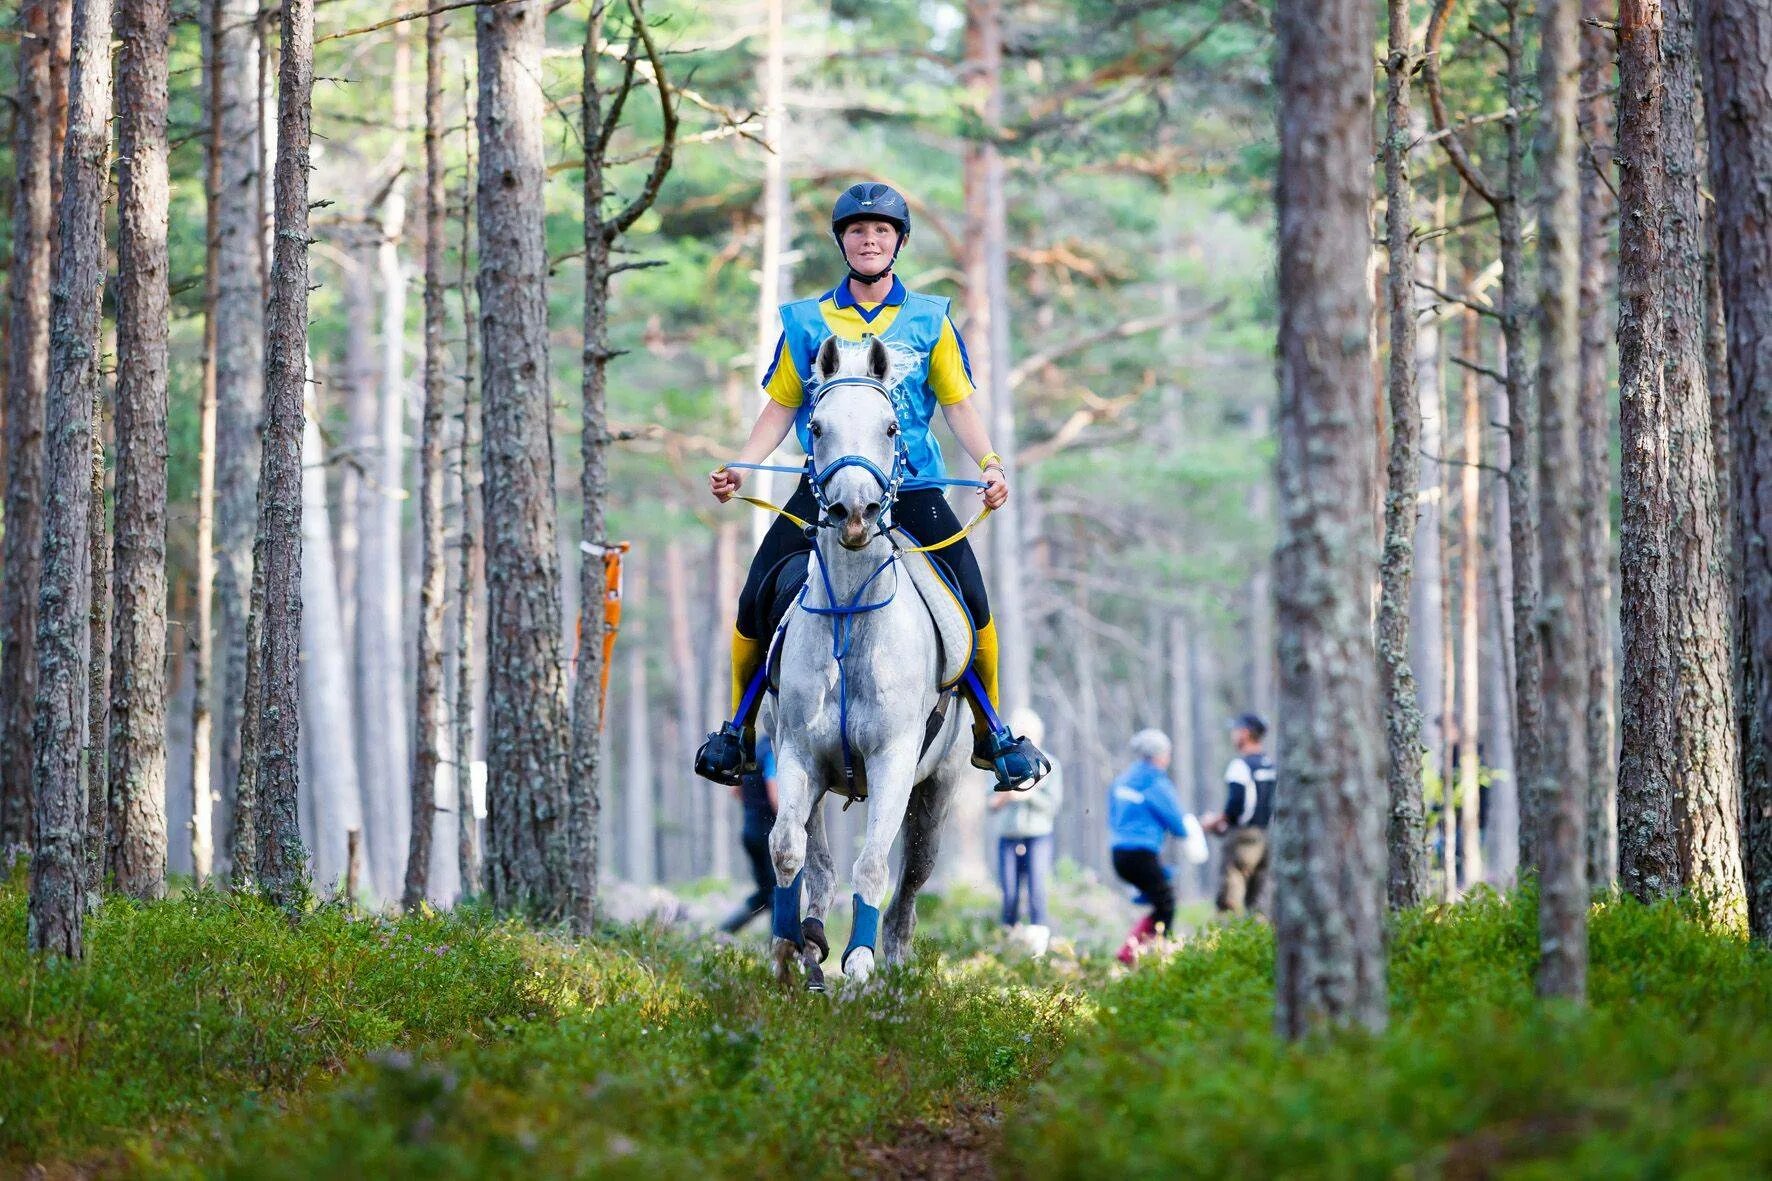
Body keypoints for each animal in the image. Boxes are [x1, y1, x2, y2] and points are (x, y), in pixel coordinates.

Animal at [769, 331, 978, 985]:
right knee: (818, 865)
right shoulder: (798, 755)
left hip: (938, 794)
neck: (852, 621)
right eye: (817, 425)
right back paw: (810, 944)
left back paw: (889, 974)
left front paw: (857, 964)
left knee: (905, 897)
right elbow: (786, 850)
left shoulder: (893, 762)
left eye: (891, 427)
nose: (854, 513)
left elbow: (872, 868)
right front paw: (787, 948)